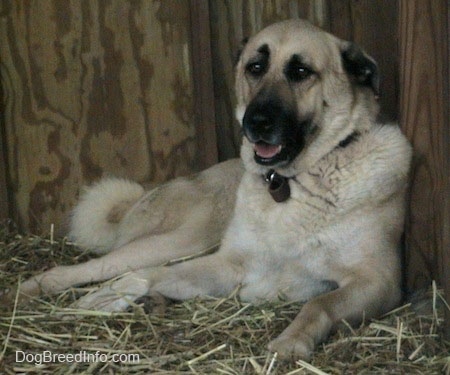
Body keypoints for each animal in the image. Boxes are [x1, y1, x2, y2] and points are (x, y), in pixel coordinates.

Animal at [5, 20, 412, 362]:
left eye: (300, 72)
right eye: (255, 67)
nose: (255, 122)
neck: (291, 184)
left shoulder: (379, 282)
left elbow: (320, 304)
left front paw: (291, 341)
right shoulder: (230, 264)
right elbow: (148, 274)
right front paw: (115, 293)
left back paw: (150, 302)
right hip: (183, 240)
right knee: (85, 268)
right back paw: (27, 291)